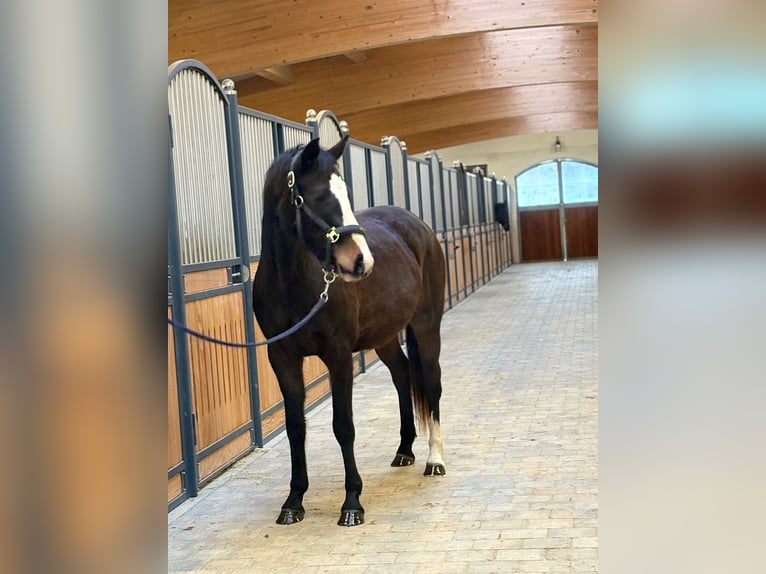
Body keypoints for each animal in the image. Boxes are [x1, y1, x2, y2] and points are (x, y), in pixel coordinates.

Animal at [253, 135, 446, 527]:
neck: (293, 283)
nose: (361, 262)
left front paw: (352, 503)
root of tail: (416, 226)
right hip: (385, 337)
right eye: (316, 195)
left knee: (432, 382)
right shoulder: (281, 357)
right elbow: (296, 428)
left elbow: (343, 426)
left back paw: (434, 459)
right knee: (403, 375)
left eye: (345, 193)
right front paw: (293, 502)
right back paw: (404, 450)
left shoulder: (338, 355)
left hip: (426, 325)